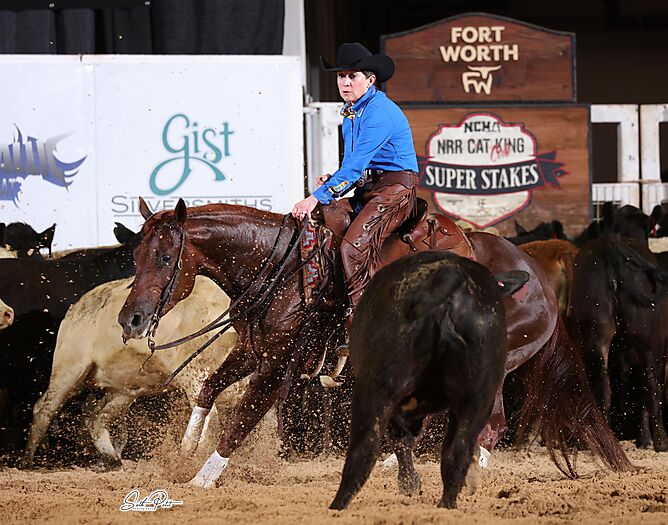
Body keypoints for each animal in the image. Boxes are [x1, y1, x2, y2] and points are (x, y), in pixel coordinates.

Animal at [24, 276, 240, 468]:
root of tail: (74, 308)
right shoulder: (195, 378)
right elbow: (205, 428)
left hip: (125, 389)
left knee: (98, 417)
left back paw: (113, 458)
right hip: (70, 369)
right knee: (44, 409)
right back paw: (28, 461)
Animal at [118, 197, 631, 485]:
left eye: (164, 257)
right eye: (136, 255)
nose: (130, 319)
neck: (285, 267)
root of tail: (536, 276)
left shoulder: (277, 365)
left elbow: (242, 419)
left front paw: (203, 479)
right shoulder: (254, 349)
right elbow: (208, 391)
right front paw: (184, 453)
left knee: (487, 425)